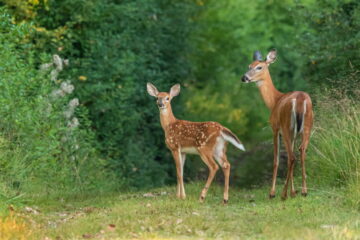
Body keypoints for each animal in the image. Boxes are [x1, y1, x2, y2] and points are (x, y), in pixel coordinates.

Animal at [242, 49, 312, 200]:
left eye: (259, 67)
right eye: (249, 66)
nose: (244, 78)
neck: (274, 101)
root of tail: (300, 99)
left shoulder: (274, 128)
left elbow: (276, 160)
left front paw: (273, 192)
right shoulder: (293, 134)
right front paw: (293, 191)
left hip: (285, 127)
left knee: (292, 157)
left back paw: (283, 194)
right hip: (307, 127)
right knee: (301, 151)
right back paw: (303, 191)